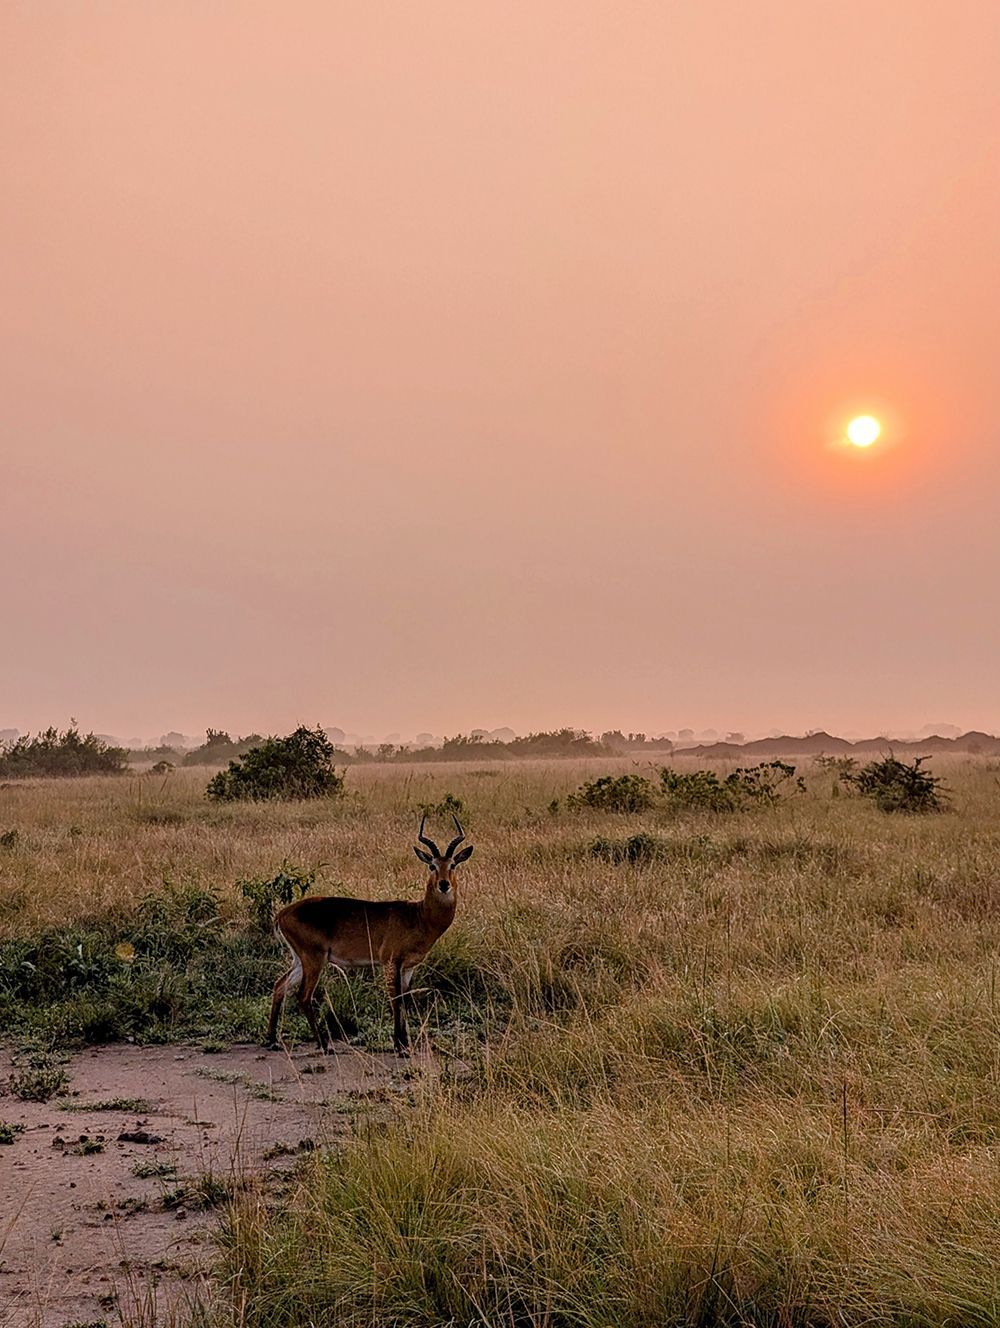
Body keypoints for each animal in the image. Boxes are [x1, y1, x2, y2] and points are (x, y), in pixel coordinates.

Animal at [266, 816, 473, 1055]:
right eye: (432, 865)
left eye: (453, 864)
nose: (444, 884)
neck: (419, 916)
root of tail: (282, 913)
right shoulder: (390, 962)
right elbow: (395, 1000)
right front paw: (399, 1046)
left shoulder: (408, 967)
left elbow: (405, 1000)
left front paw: (405, 1043)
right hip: (314, 960)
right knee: (303, 997)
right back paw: (324, 1045)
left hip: (300, 960)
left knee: (280, 986)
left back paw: (272, 1040)